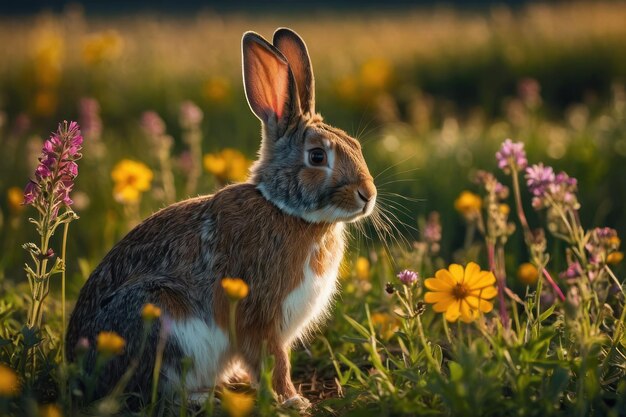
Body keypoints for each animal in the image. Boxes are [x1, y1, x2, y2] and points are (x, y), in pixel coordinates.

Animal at [66, 28, 376, 410]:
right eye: (317, 157)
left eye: (355, 145)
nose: (368, 195)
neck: (285, 209)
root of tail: (80, 371)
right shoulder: (260, 314)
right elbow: (273, 360)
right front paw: (292, 400)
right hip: (158, 316)